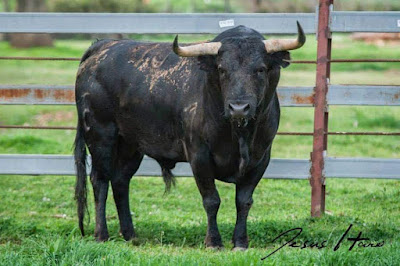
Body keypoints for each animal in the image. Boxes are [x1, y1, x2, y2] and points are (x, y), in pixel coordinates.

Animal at [74, 22, 306, 249]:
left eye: (260, 69)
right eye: (222, 69)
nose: (239, 108)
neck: (239, 135)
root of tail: (102, 46)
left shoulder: (260, 159)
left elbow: (244, 201)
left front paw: (240, 241)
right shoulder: (199, 155)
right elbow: (211, 200)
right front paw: (213, 242)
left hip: (130, 144)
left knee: (120, 181)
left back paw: (130, 235)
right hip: (100, 136)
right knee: (100, 181)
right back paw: (101, 235)